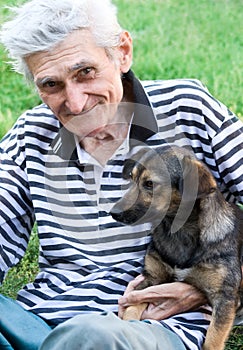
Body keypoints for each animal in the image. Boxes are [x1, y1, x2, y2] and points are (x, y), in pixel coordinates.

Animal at [110, 145, 243, 350]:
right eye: (131, 178)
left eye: (150, 183)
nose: (113, 213)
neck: (179, 232)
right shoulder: (152, 279)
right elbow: (132, 309)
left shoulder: (224, 298)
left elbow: (212, 340)